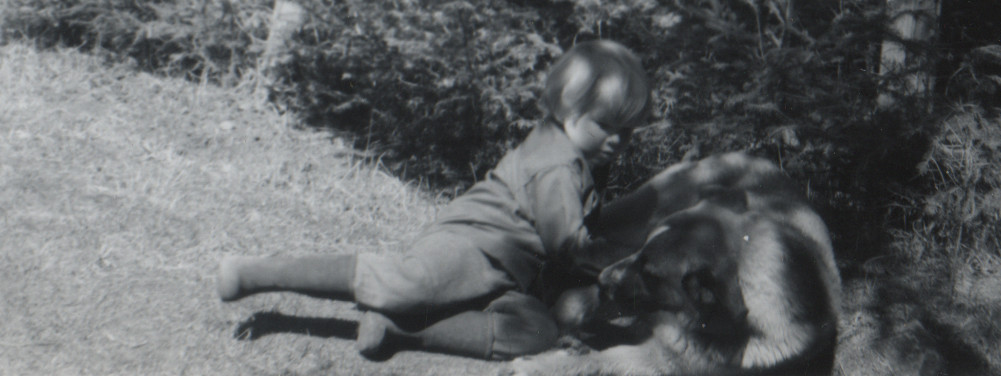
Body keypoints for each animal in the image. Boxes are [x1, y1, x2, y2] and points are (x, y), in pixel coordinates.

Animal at [512, 153, 840, 376]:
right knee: (578, 248)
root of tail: (752, 157)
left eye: (650, 273)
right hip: (635, 220)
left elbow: (596, 359)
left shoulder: (657, 356)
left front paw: (542, 360)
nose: (604, 281)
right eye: (644, 253)